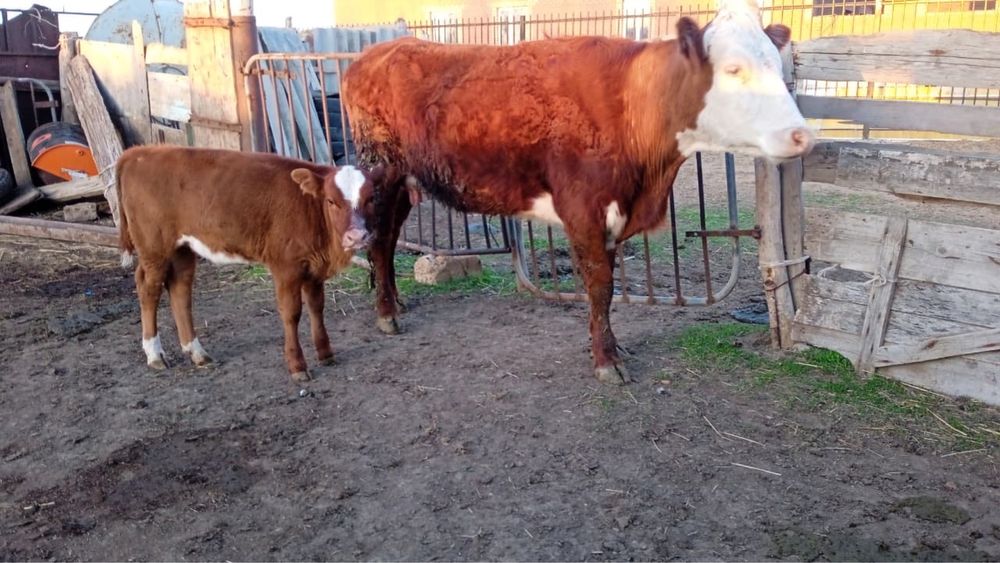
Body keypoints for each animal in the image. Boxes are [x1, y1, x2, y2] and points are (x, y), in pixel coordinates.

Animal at [116, 146, 376, 382]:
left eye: (370, 199)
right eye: (331, 201)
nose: (357, 236)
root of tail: (139, 152)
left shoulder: (313, 266)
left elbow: (316, 307)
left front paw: (325, 353)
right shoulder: (286, 266)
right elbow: (291, 313)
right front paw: (297, 365)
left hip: (182, 249)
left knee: (180, 290)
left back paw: (197, 352)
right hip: (154, 248)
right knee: (148, 289)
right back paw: (154, 354)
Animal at [342, 0, 815, 385]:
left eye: (777, 67)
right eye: (733, 69)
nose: (802, 135)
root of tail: (373, 54)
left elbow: (605, 285)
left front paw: (612, 348)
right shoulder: (583, 209)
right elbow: (600, 286)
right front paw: (607, 360)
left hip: (403, 182)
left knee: (386, 240)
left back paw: (396, 304)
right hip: (381, 172)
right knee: (379, 242)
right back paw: (387, 314)